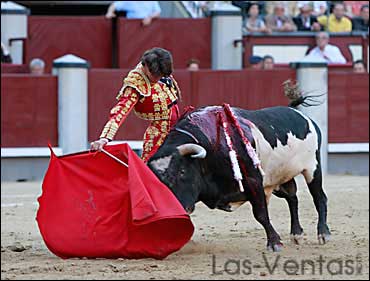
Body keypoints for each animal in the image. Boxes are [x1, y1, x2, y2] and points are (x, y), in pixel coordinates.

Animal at [147, 99, 330, 250]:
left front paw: (274, 243)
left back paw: (323, 234)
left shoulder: (253, 181)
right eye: (157, 181)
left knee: (319, 197)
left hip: (312, 169)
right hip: (279, 178)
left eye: (182, 171)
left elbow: (260, 214)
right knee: (292, 198)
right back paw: (297, 234)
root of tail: (301, 115)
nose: (177, 209)